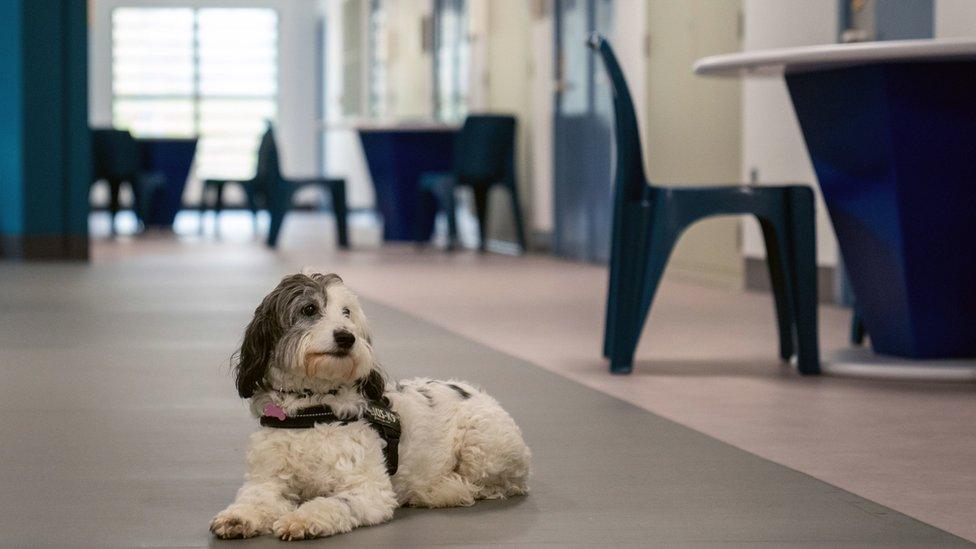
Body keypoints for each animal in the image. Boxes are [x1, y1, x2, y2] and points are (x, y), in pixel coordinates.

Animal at [211, 272, 532, 536]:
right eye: (309, 309)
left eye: (347, 312)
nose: (346, 337)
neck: (312, 409)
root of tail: (479, 392)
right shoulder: (266, 481)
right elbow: (256, 498)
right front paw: (238, 517)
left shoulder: (368, 490)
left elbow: (333, 503)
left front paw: (301, 519)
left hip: (483, 443)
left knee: (491, 486)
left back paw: (440, 491)